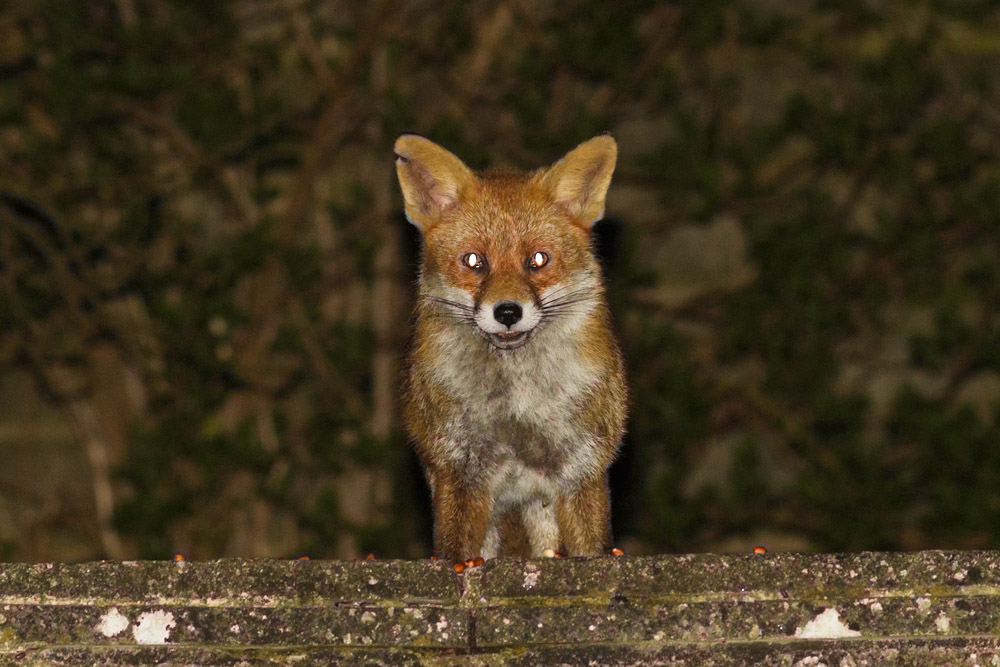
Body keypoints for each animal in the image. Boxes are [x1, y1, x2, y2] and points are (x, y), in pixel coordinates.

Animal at [394, 133, 627, 564]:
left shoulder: (582, 467)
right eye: (474, 261)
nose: (507, 312)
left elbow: (591, 547)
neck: (516, 405)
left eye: (537, 260)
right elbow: (455, 550)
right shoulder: (459, 468)